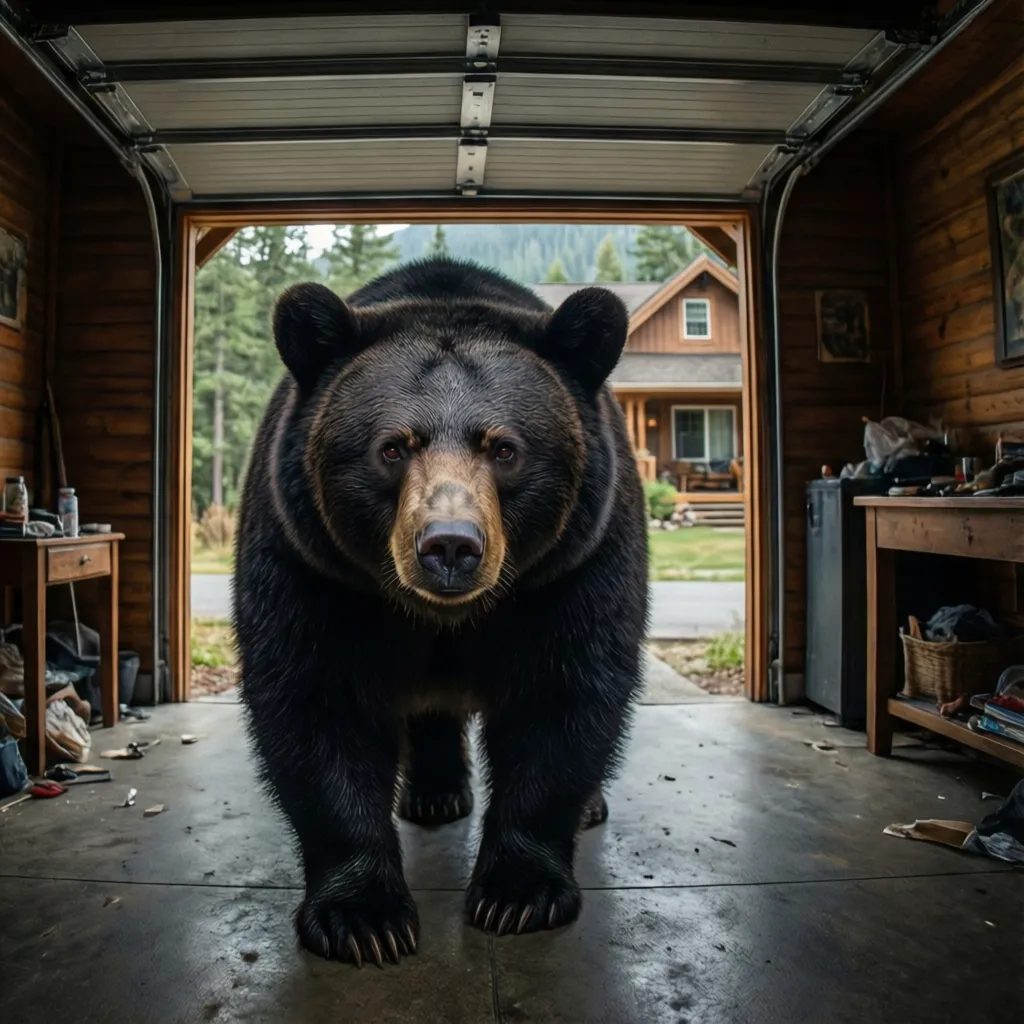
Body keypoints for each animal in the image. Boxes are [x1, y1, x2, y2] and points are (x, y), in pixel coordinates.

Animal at [233, 257, 648, 967]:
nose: (450, 545)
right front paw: (364, 918)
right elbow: (315, 699)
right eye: (393, 447)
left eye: (504, 447)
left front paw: (517, 893)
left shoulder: (573, 567)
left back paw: (584, 806)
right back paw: (433, 792)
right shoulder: (311, 566)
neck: (444, 616)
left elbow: (564, 692)